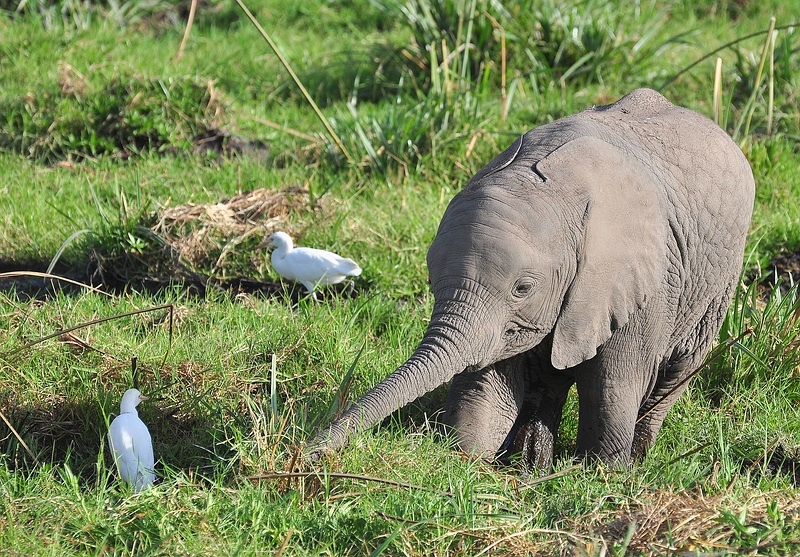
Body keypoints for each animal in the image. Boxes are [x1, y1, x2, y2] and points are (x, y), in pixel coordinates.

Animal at [304, 87, 752, 470]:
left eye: (523, 288)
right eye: (432, 284)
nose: (308, 453)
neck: (552, 189)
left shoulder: (646, 281)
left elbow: (612, 384)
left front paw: (600, 475)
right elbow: (490, 388)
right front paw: (470, 461)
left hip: (719, 281)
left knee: (675, 373)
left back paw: (632, 460)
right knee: (547, 383)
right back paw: (530, 465)